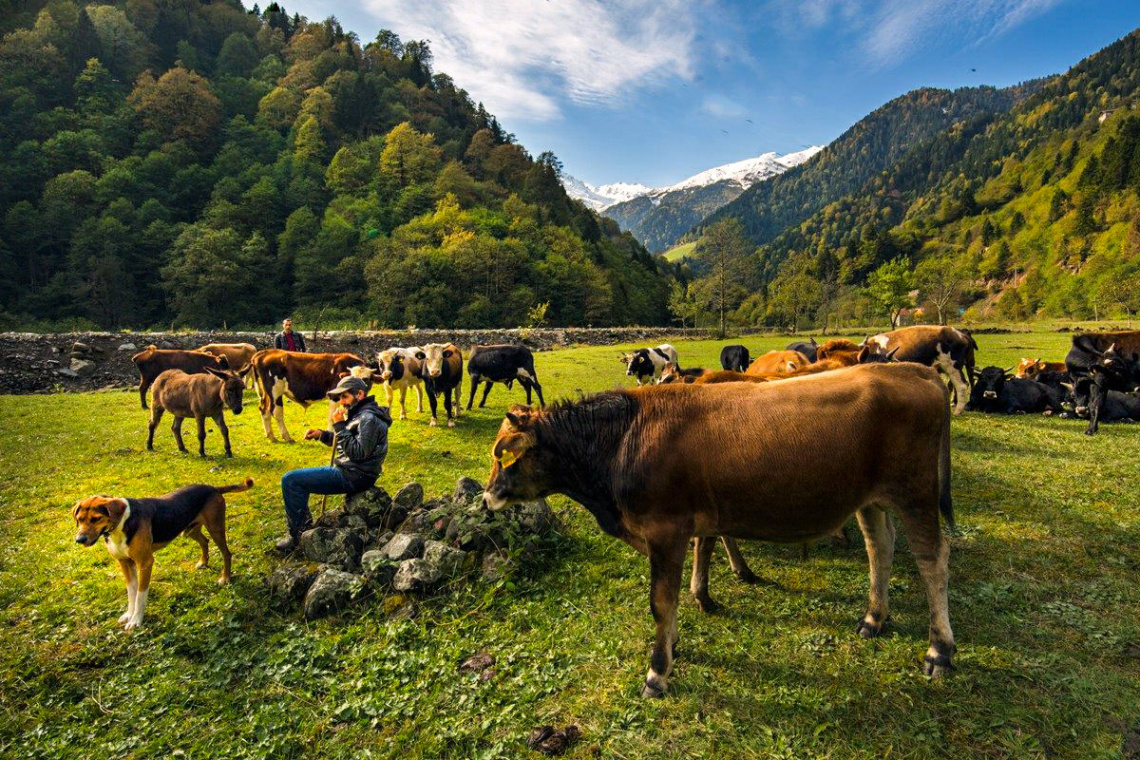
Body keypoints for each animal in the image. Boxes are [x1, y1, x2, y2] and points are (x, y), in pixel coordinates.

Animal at [71, 480, 254, 628]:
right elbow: (131, 593)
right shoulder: (125, 563)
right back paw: (203, 562)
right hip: (190, 530)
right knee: (204, 541)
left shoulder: (145, 563)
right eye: (79, 519)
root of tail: (213, 488)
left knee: (227, 553)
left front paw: (136, 620)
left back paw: (225, 578)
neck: (122, 522)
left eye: (96, 519)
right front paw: (129, 615)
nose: (79, 539)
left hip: (215, 528)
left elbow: (140, 595)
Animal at [485, 364, 957, 697]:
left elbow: (661, 601)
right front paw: (673, 644)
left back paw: (940, 649)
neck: (624, 440)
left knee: (933, 561)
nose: (488, 497)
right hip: (870, 499)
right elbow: (675, 595)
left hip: (915, 493)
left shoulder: (666, 530)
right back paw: (874, 617)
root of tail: (914, 370)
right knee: (881, 547)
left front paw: (658, 671)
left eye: (503, 455)